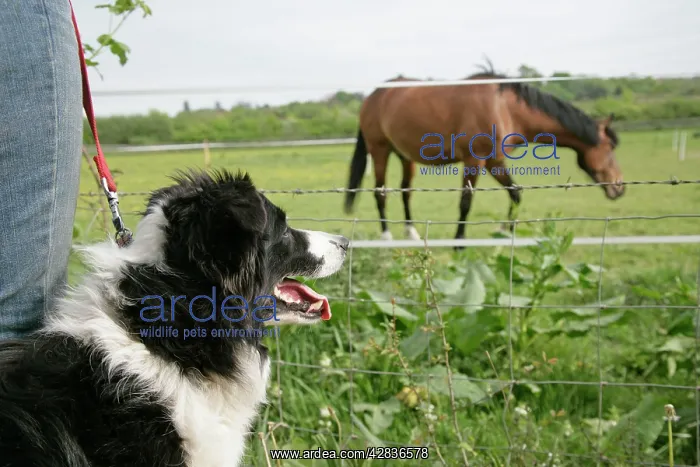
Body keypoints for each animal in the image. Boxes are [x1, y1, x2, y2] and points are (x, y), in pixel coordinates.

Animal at [343, 70, 624, 247]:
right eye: (610, 146)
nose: (619, 187)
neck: (505, 108)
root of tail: (373, 96)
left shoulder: (494, 162)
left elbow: (516, 193)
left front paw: (503, 233)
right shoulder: (475, 160)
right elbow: (466, 202)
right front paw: (459, 243)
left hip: (404, 156)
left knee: (405, 191)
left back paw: (410, 232)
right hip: (380, 149)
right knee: (380, 191)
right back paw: (386, 236)